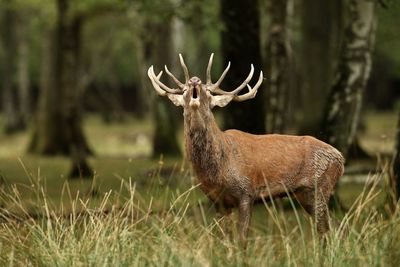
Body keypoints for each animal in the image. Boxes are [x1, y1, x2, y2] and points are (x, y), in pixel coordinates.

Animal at [147, 54, 344, 243]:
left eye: (208, 92)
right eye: (184, 91)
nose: (194, 80)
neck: (218, 170)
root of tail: (340, 158)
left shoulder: (246, 191)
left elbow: (242, 239)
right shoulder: (217, 200)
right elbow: (224, 239)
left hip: (320, 186)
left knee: (327, 229)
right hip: (304, 194)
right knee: (330, 228)